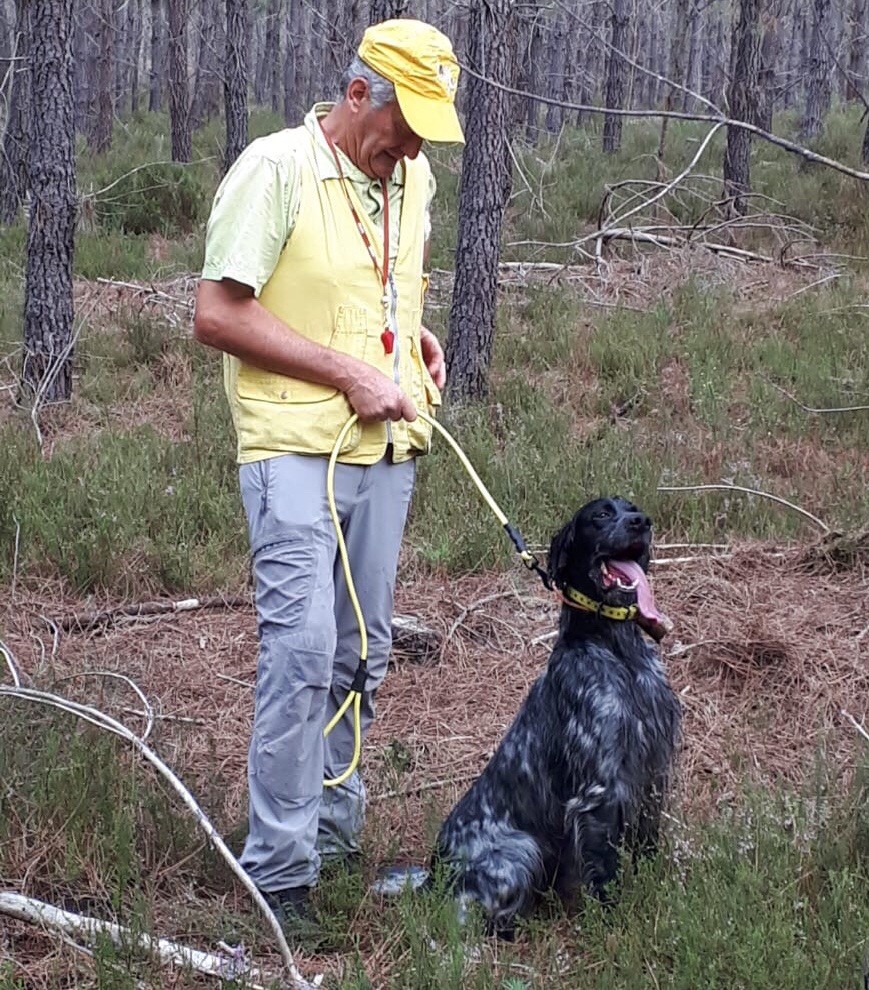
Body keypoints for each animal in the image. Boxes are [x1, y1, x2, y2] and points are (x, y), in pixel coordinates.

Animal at [430, 500, 680, 932]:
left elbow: (647, 845)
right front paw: (612, 925)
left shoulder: (652, 771)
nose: (641, 522)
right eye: (600, 515)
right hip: (521, 849)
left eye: (632, 509)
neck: (617, 651)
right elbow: (605, 872)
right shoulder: (599, 789)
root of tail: (430, 872)